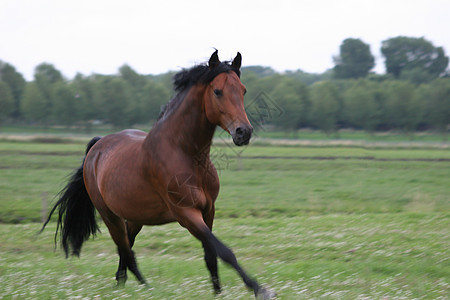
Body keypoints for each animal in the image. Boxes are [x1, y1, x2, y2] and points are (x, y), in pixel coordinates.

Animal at [42, 50, 274, 298]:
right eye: (217, 91)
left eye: (243, 90)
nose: (243, 132)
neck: (188, 155)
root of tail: (97, 147)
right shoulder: (186, 214)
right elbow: (224, 251)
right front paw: (260, 289)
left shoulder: (208, 210)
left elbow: (211, 256)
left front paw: (219, 292)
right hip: (110, 216)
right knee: (126, 250)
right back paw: (145, 288)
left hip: (135, 217)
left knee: (127, 249)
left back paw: (126, 284)